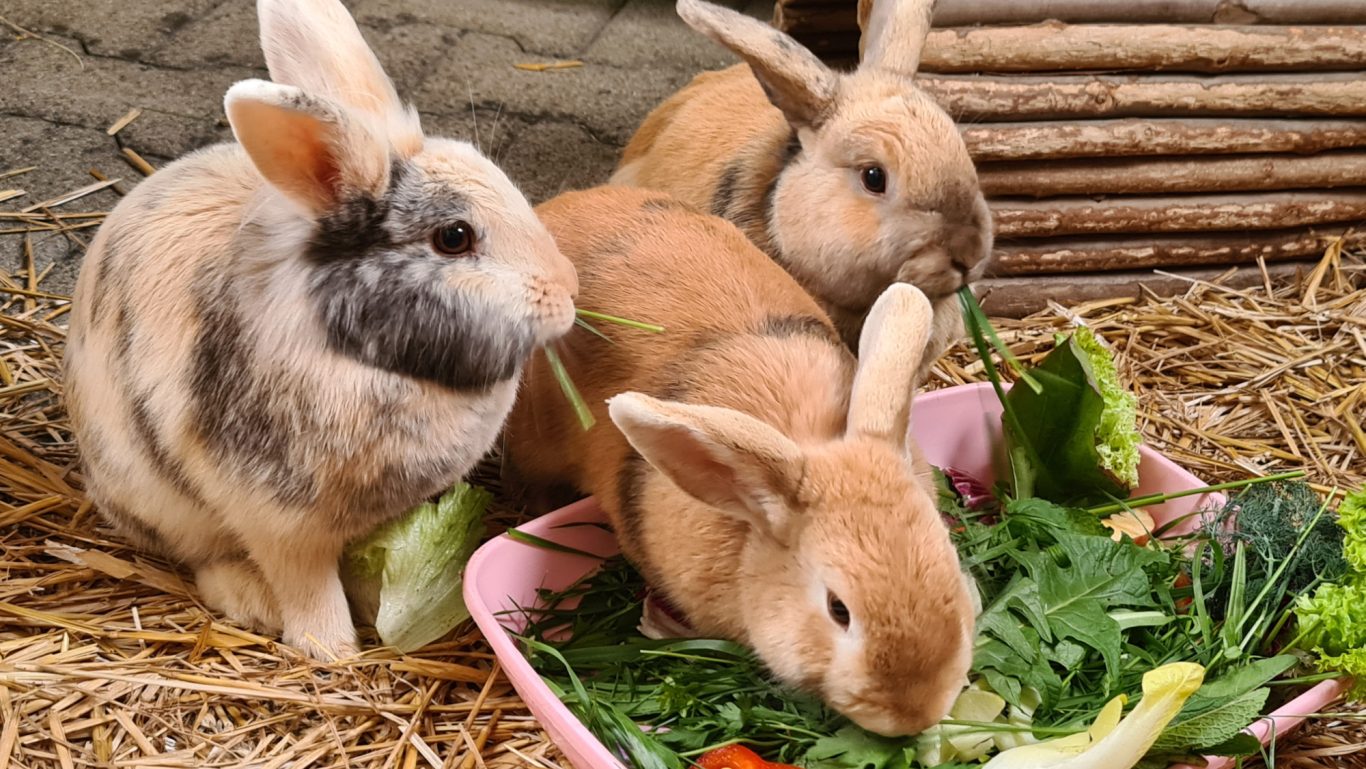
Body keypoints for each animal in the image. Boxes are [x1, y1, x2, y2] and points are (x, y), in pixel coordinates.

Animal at [62, 0, 578, 660]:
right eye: (454, 237)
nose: (569, 290)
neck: (371, 360)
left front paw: (374, 602)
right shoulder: (277, 520)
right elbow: (306, 585)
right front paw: (332, 649)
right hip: (155, 496)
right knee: (201, 555)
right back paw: (250, 599)